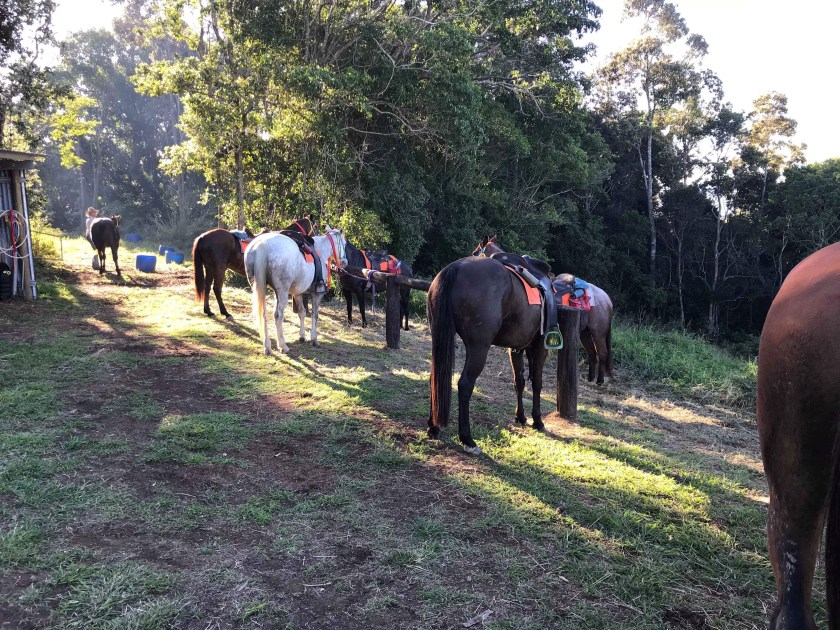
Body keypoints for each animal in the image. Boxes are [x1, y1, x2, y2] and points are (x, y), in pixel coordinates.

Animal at [245, 226, 347, 354]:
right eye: (345, 244)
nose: (345, 262)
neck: (320, 251)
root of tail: (262, 245)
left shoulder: (297, 293)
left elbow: (302, 313)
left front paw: (302, 336)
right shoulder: (317, 294)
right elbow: (314, 315)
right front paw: (314, 339)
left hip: (260, 288)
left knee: (263, 314)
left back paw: (267, 346)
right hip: (282, 292)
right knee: (278, 315)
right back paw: (283, 345)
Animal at [427, 255, 550, 455]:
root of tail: (456, 267)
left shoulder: (515, 349)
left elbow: (519, 382)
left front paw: (521, 417)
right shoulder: (540, 349)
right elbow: (537, 384)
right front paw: (537, 420)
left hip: (439, 337)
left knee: (435, 378)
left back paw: (433, 426)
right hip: (479, 348)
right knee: (465, 384)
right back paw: (467, 439)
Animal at [473, 237, 614, 384]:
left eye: (475, 252)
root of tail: (607, 298)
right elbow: (529, 355)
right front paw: (530, 376)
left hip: (598, 334)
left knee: (602, 353)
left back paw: (599, 380)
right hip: (585, 333)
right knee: (592, 353)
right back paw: (590, 378)